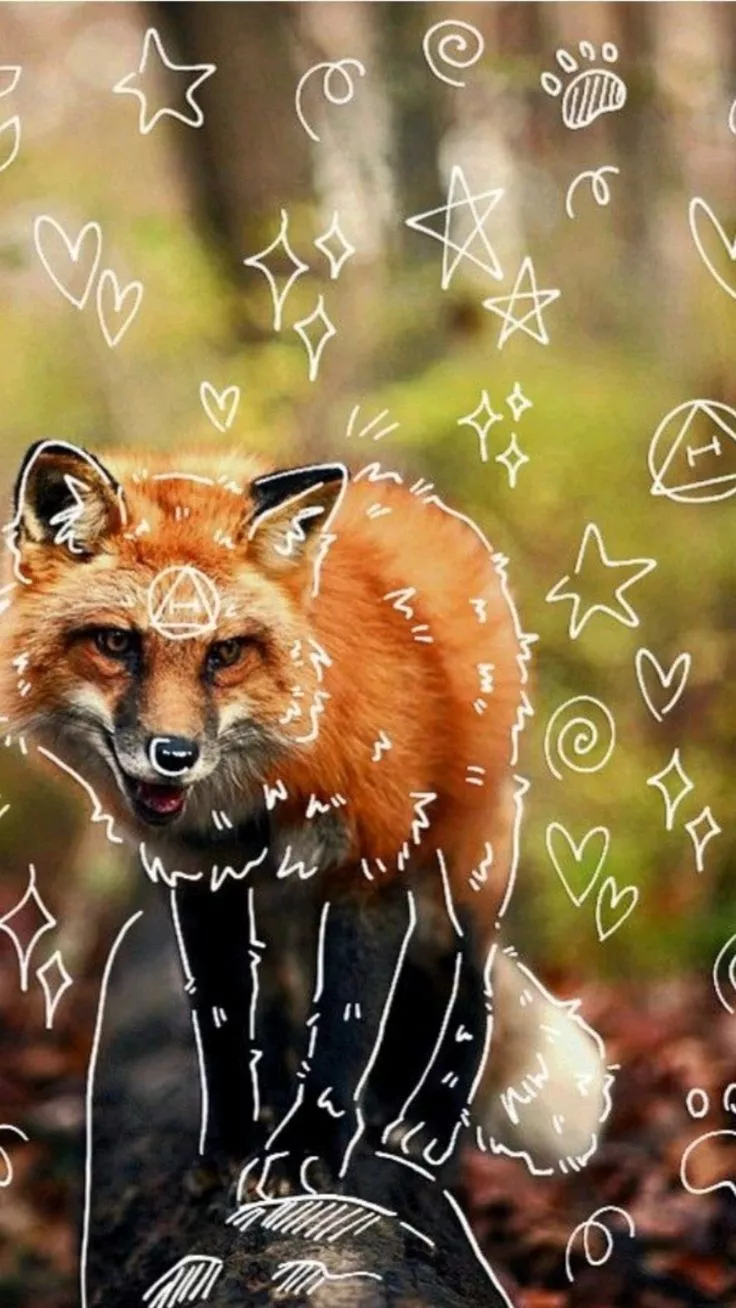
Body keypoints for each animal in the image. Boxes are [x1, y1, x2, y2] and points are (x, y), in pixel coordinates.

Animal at [0, 440, 610, 1198]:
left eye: (225, 653)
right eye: (116, 643)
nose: (174, 756)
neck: (261, 787)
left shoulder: (369, 867)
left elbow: (345, 1032)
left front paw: (307, 1149)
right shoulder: (203, 875)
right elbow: (225, 1027)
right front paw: (233, 1142)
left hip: (457, 873)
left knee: (467, 994)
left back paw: (430, 1124)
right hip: (295, 899)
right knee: (304, 997)